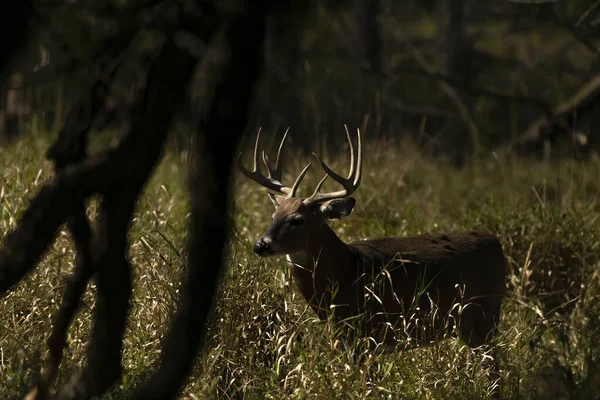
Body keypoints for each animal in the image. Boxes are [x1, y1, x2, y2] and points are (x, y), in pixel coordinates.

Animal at [238, 127, 506, 350]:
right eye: (274, 215)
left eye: (297, 220)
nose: (260, 245)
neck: (347, 272)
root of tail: (495, 240)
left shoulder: (371, 331)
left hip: (486, 317)